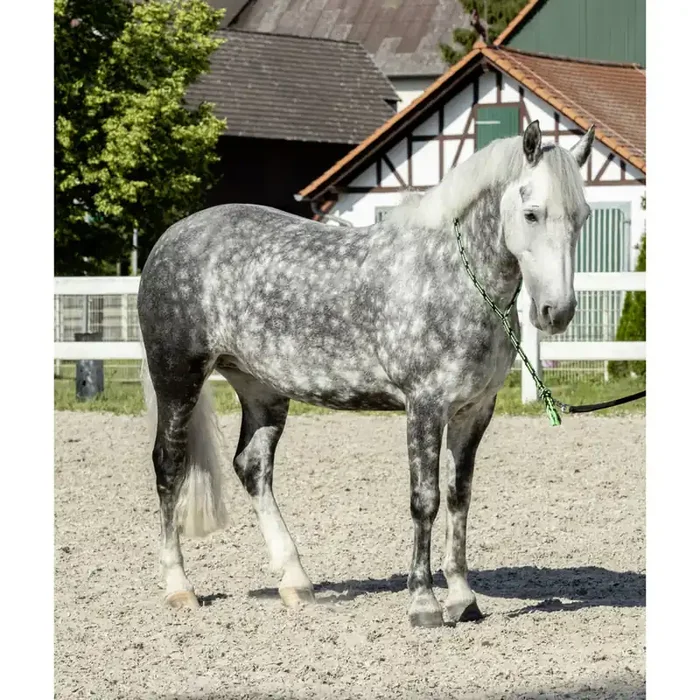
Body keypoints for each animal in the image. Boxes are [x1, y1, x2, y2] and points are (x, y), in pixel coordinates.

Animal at [137, 120, 594, 627]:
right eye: (532, 214)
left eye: (581, 217)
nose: (557, 312)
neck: (449, 275)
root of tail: (171, 238)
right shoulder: (425, 407)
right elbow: (425, 500)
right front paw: (424, 604)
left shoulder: (474, 412)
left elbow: (459, 497)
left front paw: (463, 598)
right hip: (178, 378)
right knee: (169, 466)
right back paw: (179, 587)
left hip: (261, 388)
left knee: (252, 467)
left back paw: (295, 581)